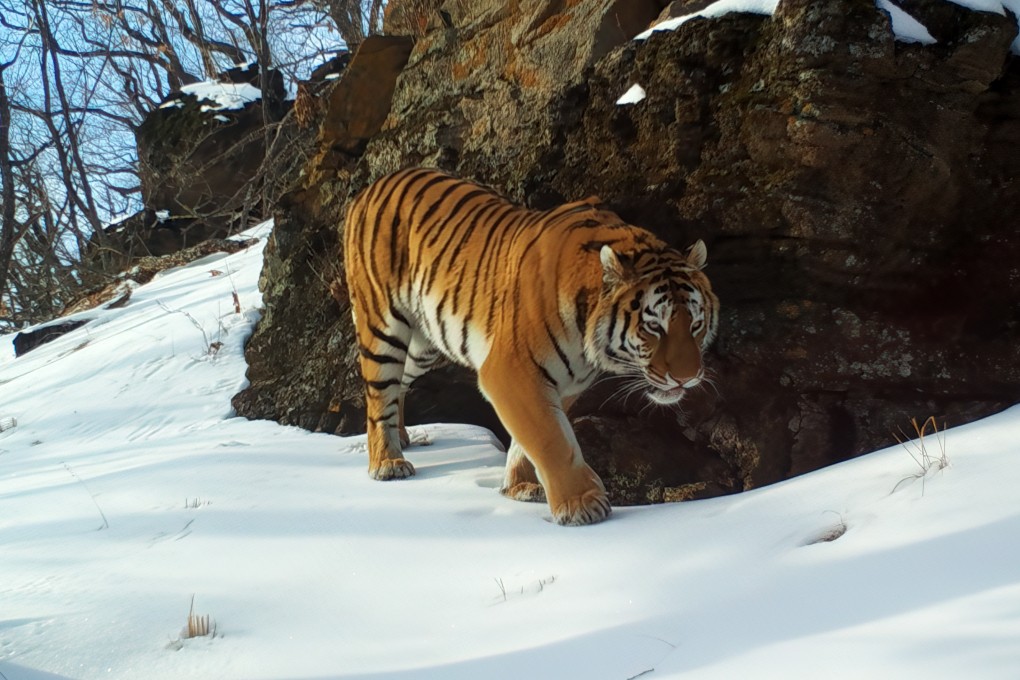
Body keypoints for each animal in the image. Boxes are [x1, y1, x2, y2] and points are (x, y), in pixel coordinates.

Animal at [343, 168, 719, 526]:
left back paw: (402, 438)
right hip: (384, 326)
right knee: (378, 394)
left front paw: (520, 486)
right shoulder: (510, 371)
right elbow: (550, 438)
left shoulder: (565, 384)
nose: (687, 378)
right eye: (654, 327)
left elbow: (531, 439)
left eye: (696, 325)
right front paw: (581, 506)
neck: (587, 342)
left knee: (398, 386)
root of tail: (373, 186)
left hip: (425, 345)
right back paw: (388, 462)